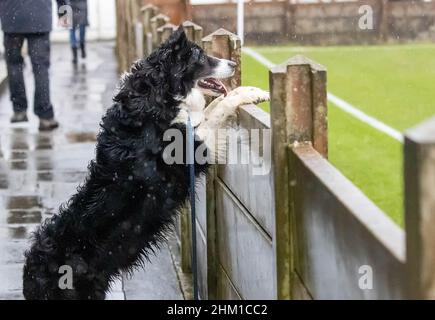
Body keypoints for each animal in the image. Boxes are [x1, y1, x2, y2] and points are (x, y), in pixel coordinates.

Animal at [23, 25, 270, 300]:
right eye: (201, 57)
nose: (234, 63)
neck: (159, 96)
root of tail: (30, 273)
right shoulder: (191, 147)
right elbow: (219, 106)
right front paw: (254, 93)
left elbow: (213, 105)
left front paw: (249, 91)